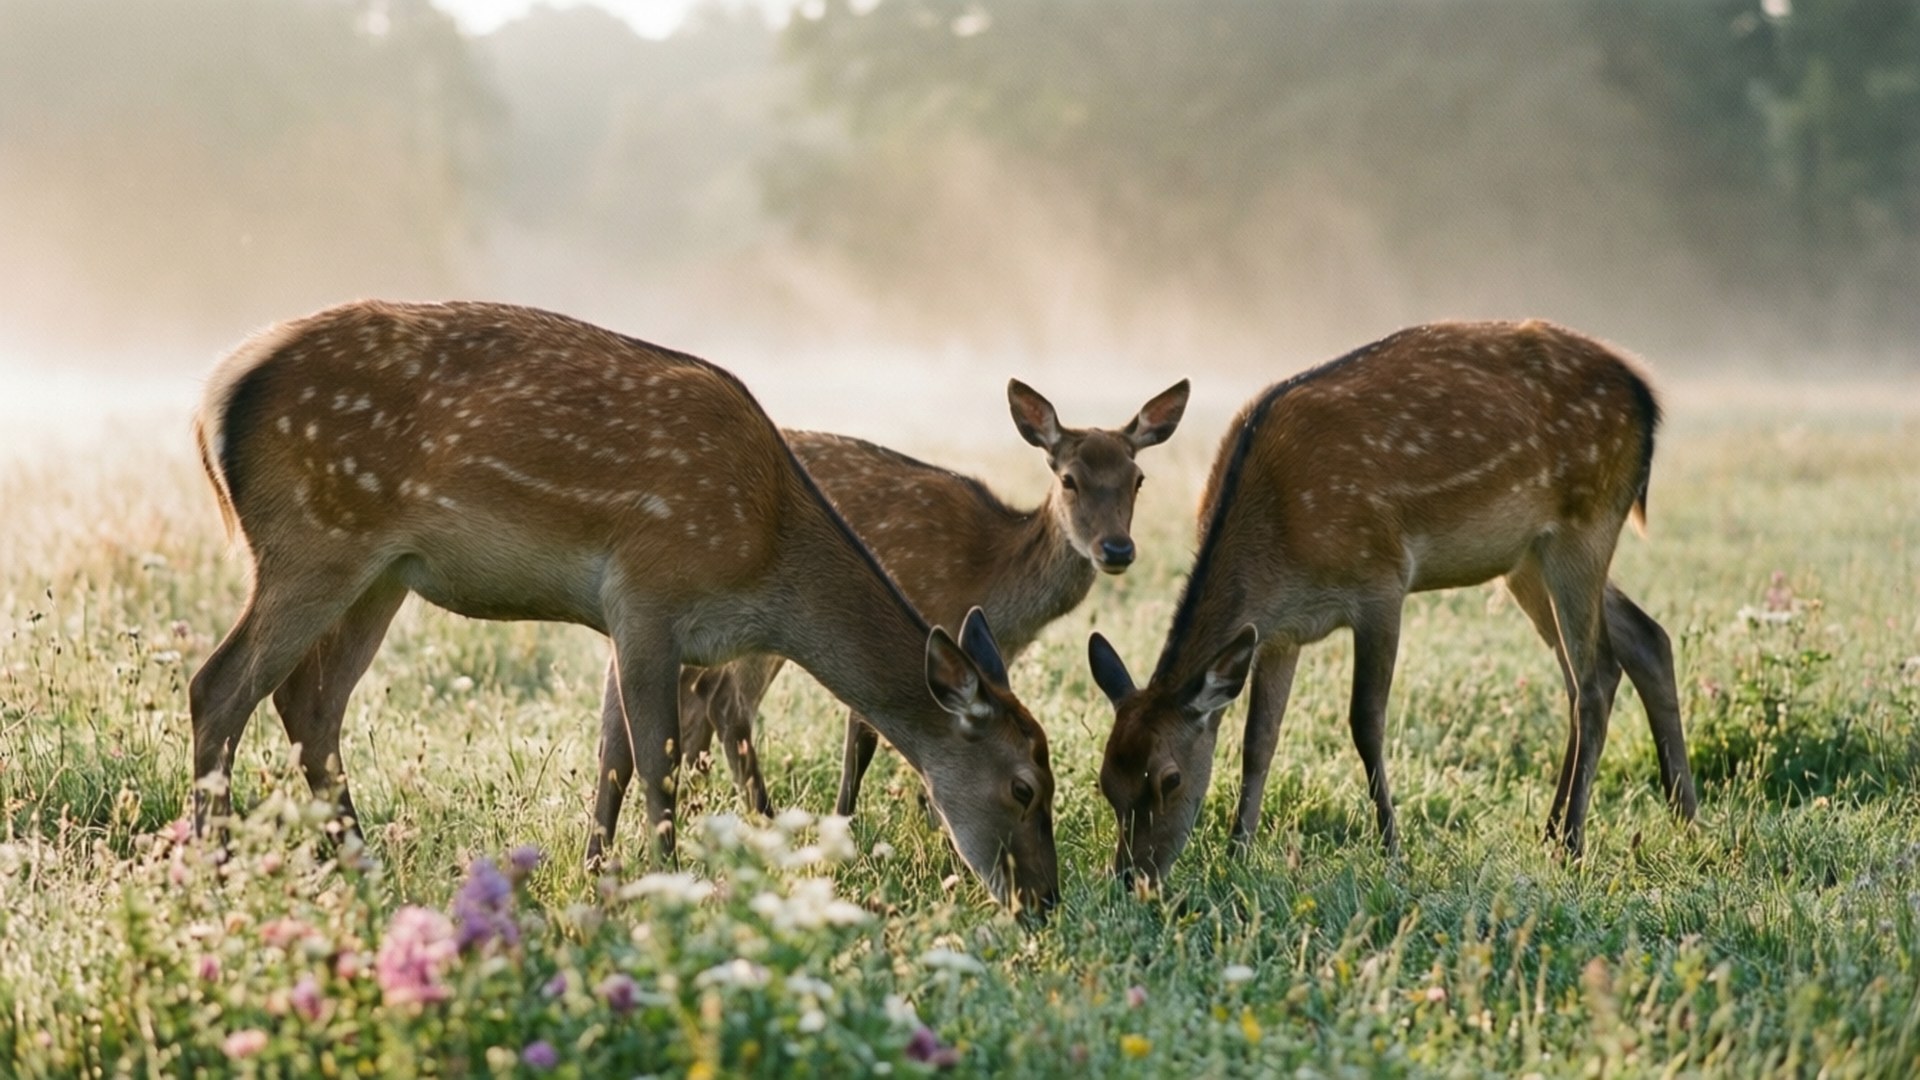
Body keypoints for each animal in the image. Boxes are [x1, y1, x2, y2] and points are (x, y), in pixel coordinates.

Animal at [187, 299, 1059, 912]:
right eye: (1025, 787)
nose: (1045, 901)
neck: (766, 560)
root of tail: (211, 399)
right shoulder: (651, 590)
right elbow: (657, 761)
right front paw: (667, 892)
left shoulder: (626, 618)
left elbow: (611, 755)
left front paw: (598, 883)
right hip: (314, 540)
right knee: (218, 685)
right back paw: (214, 873)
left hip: (383, 570)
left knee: (310, 701)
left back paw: (363, 867)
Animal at [676, 379, 1190, 819]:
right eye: (1068, 479)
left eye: (1138, 479)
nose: (1117, 549)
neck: (992, 582)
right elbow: (864, 738)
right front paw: (849, 825)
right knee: (725, 702)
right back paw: (757, 815)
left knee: (694, 692)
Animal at [1087, 320, 1699, 887]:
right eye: (1106, 781)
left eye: (1169, 778)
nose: (1132, 876)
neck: (1279, 541)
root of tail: (1647, 398)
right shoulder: (1280, 632)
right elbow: (1258, 741)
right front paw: (1239, 851)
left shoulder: (1381, 581)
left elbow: (1365, 722)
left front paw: (1392, 852)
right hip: (1528, 557)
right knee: (1639, 641)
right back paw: (1673, 819)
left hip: (1585, 523)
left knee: (1596, 674)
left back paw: (1571, 842)